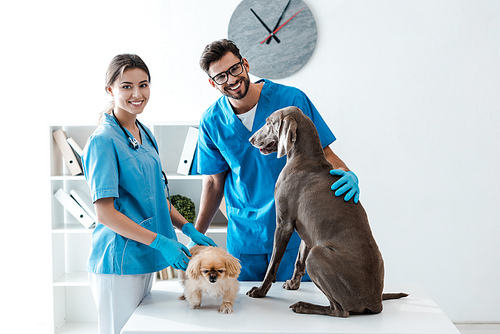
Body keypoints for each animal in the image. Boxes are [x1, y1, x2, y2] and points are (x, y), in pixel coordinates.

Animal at [246, 106, 406, 316]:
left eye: (268, 122)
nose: (251, 139)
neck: (305, 158)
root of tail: (375, 301)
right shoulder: (305, 231)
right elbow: (298, 260)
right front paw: (292, 283)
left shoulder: (284, 224)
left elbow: (273, 264)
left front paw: (260, 291)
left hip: (317, 255)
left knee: (340, 310)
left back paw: (304, 306)